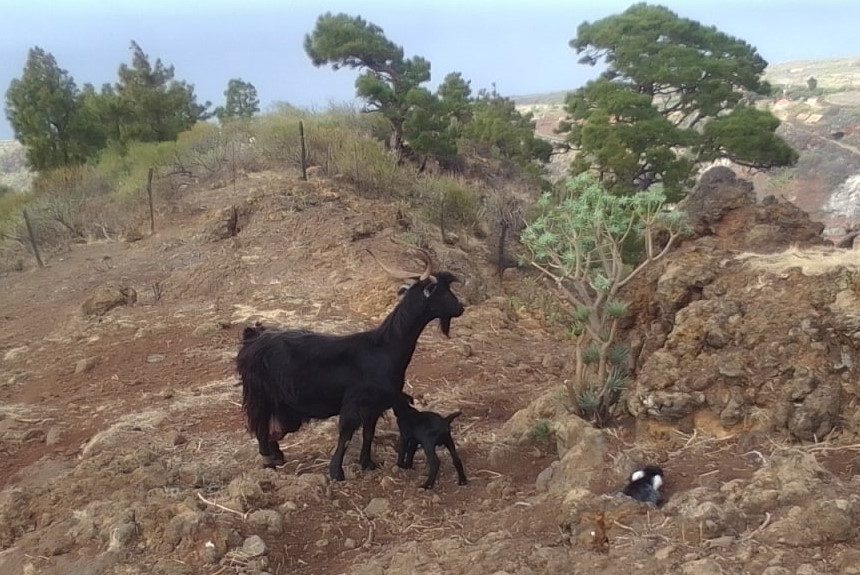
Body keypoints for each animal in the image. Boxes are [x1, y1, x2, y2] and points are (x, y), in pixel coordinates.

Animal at [236, 249, 465, 481]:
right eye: (443, 291)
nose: (461, 308)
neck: (384, 348)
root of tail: (252, 338)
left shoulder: (374, 406)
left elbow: (368, 433)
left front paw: (367, 463)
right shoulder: (355, 403)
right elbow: (345, 435)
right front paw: (336, 472)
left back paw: (278, 456)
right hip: (260, 395)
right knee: (260, 425)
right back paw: (268, 460)